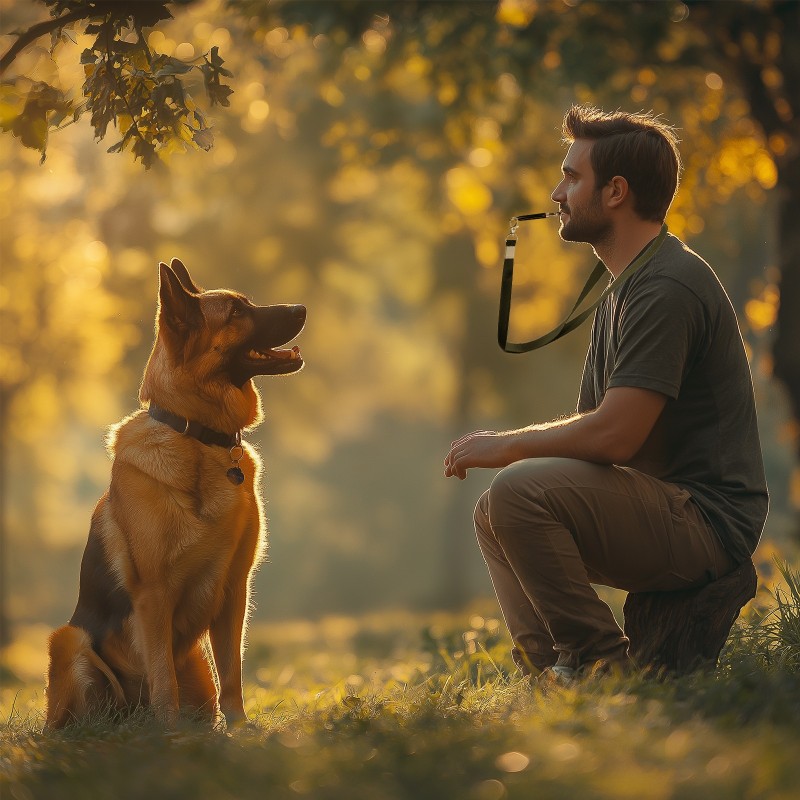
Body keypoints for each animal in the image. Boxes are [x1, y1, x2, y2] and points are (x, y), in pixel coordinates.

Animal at [46, 260, 306, 728]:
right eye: (236, 313)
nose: (302, 308)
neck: (198, 438)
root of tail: (129, 714)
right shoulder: (153, 595)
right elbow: (163, 677)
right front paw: (170, 735)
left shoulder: (235, 590)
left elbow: (233, 673)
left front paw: (239, 731)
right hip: (68, 639)